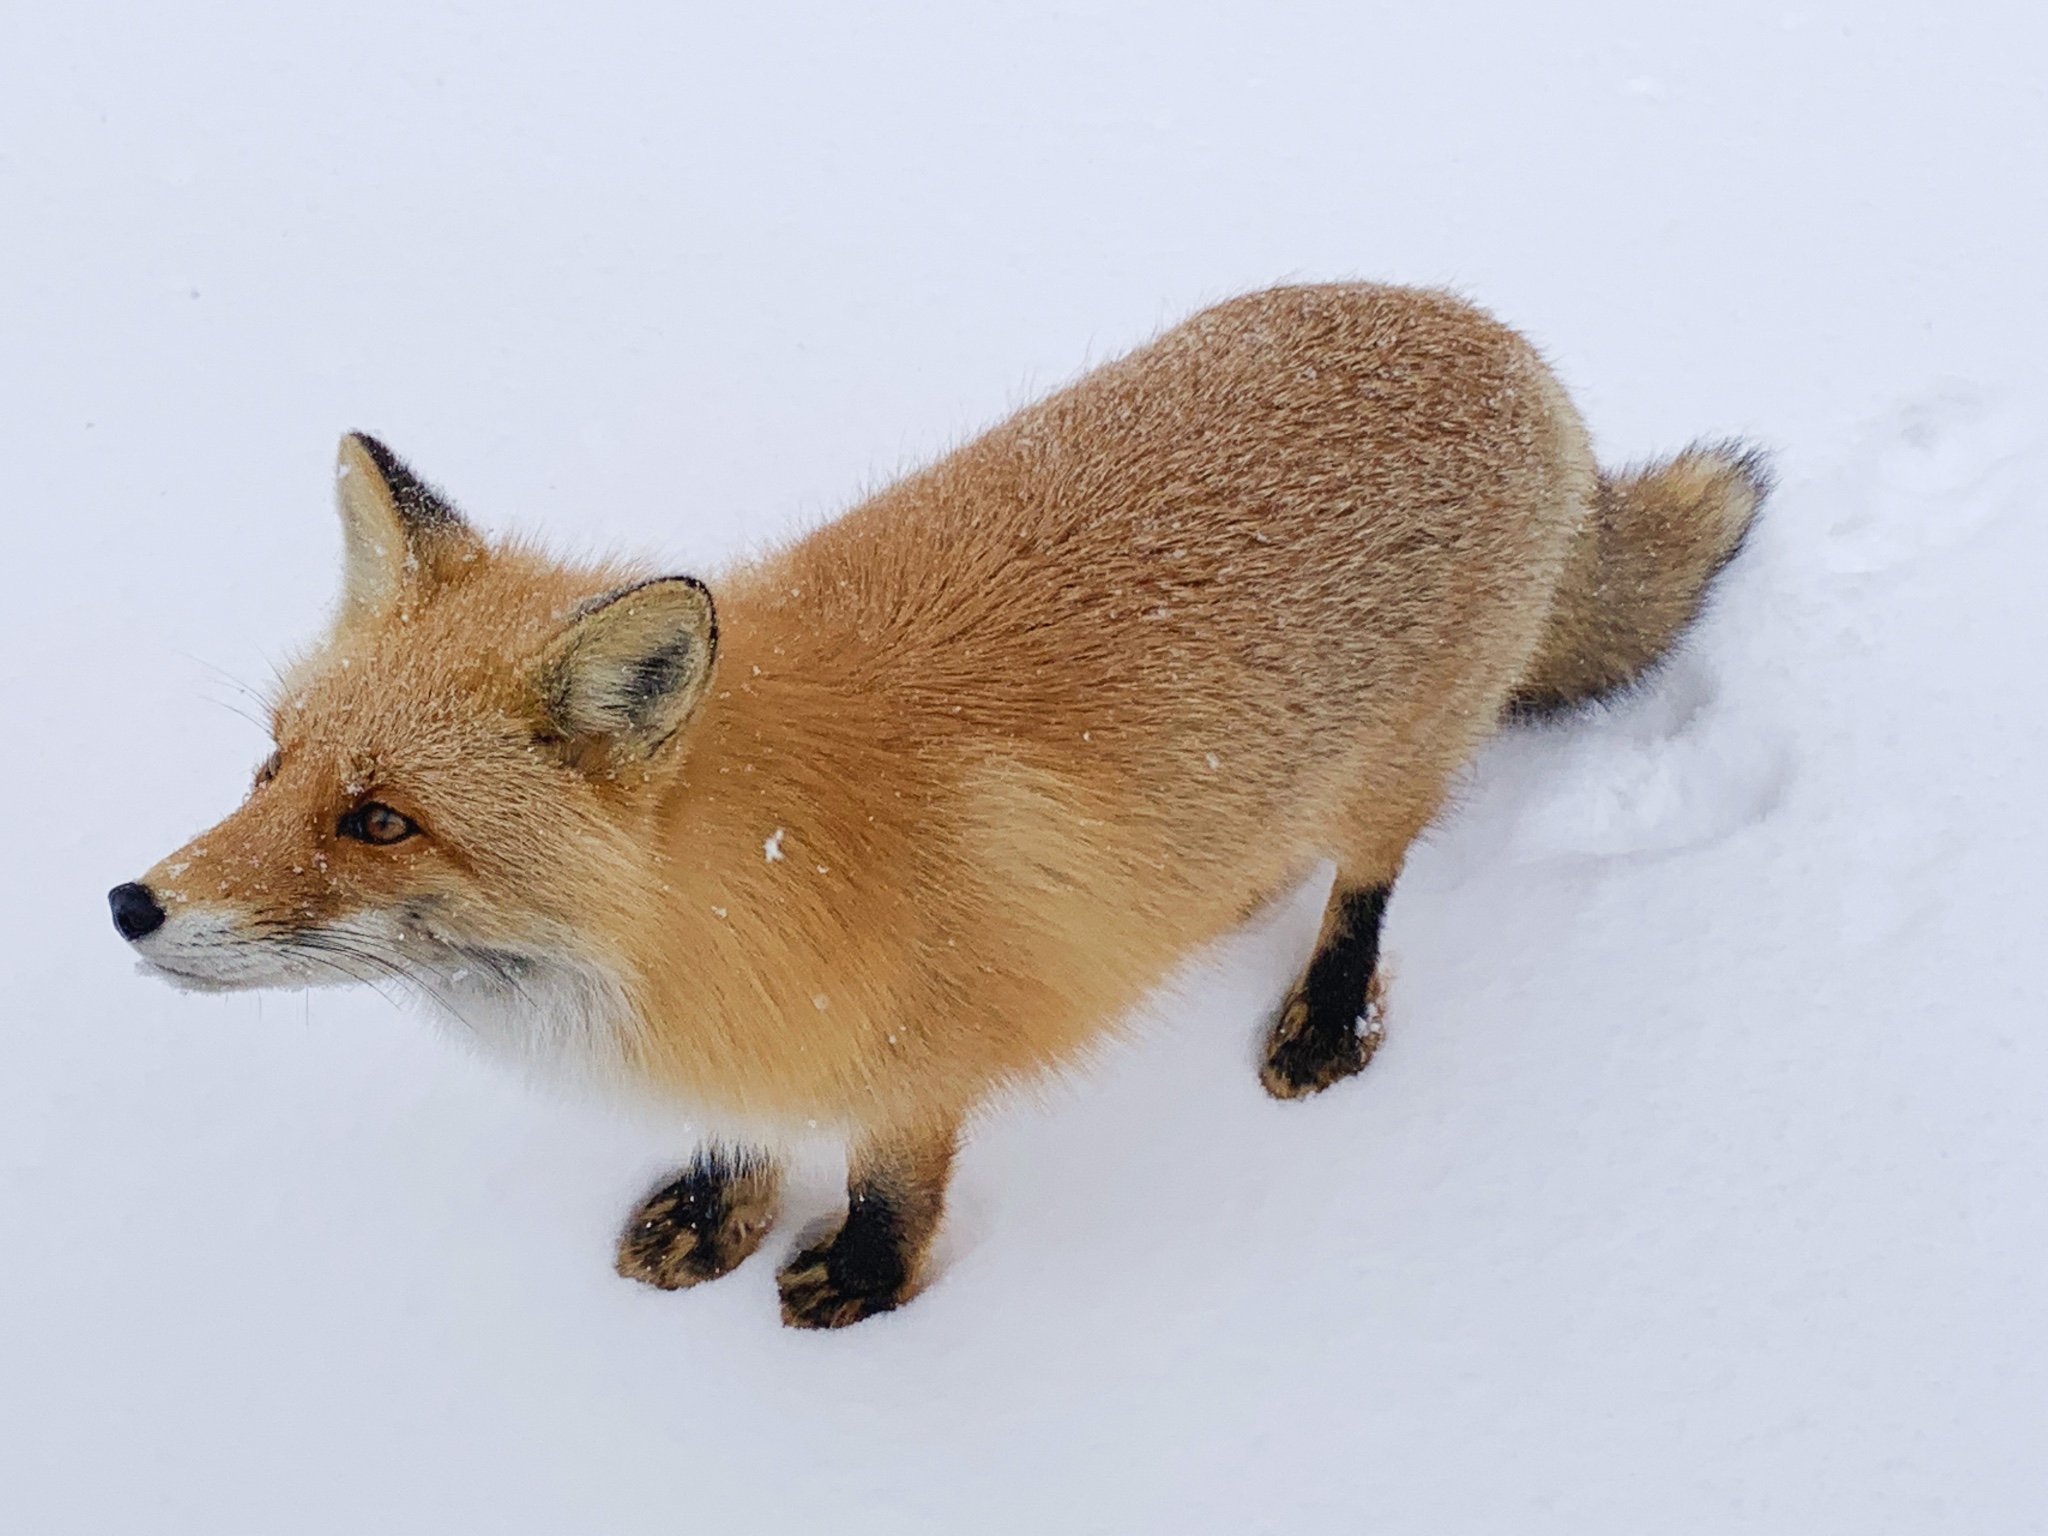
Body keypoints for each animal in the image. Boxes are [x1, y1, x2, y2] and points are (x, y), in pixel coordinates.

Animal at [108, 282, 1761, 1327]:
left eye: (381, 821)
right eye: (272, 767)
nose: (131, 903)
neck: (728, 901)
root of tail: (1493, 334)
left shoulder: (927, 1045)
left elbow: (894, 1175)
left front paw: (867, 1281)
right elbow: (747, 1135)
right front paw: (717, 1212)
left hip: (1398, 768)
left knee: (1367, 881)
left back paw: (1326, 1015)